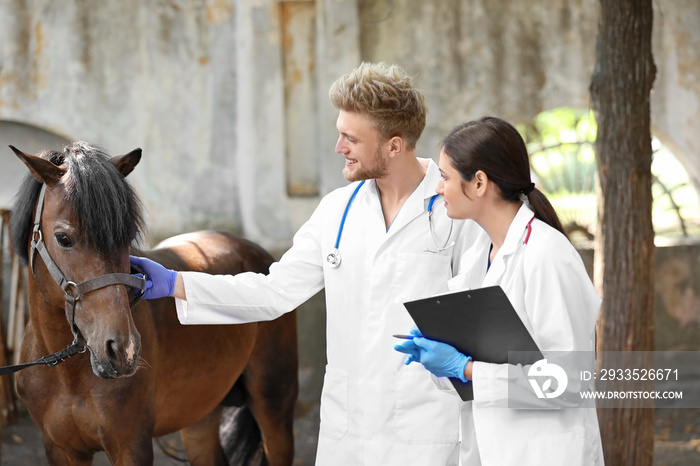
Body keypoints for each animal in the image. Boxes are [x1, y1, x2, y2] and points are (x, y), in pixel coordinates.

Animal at [8, 143, 298, 466]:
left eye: (126, 238)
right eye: (63, 238)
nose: (123, 350)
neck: (67, 376)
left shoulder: (131, 446)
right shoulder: (60, 449)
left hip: (274, 403)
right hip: (200, 415)